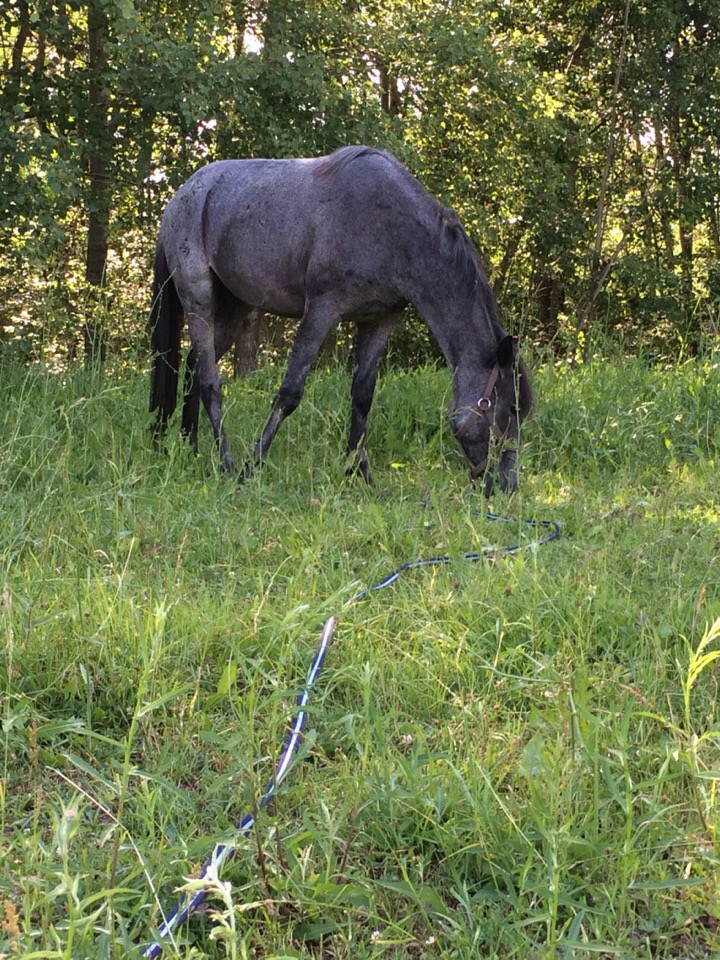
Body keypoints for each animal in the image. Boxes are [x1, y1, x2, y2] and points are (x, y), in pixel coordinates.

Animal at [149, 145, 532, 492]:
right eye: (508, 409)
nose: (508, 485)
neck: (392, 228)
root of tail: (182, 196)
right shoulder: (322, 309)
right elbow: (289, 392)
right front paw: (252, 468)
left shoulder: (379, 320)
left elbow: (362, 395)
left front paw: (359, 474)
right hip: (198, 299)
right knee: (210, 383)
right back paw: (226, 462)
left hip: (235, 307)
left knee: (194, 367)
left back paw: (191, 448)